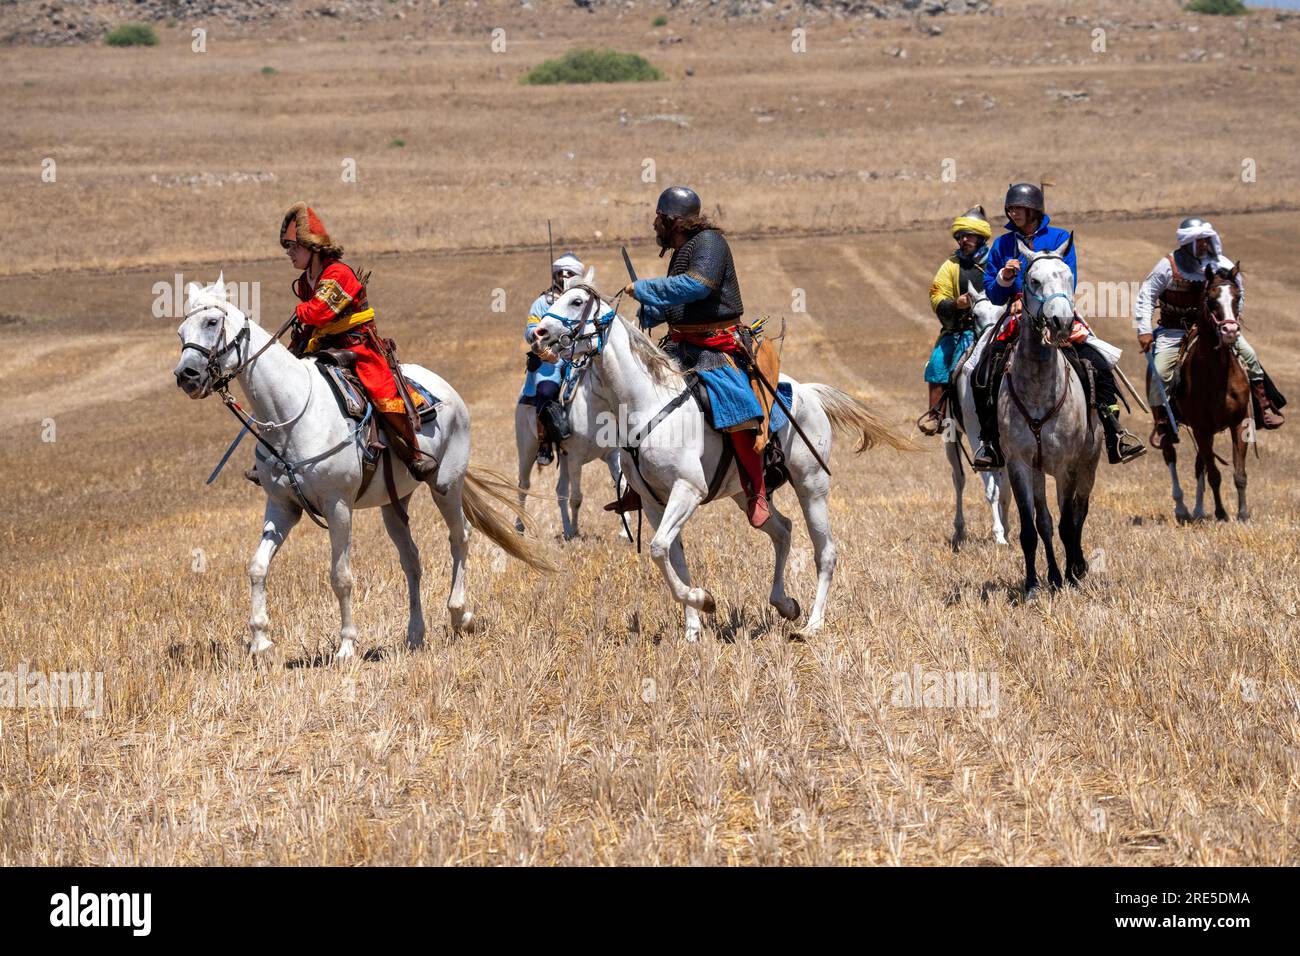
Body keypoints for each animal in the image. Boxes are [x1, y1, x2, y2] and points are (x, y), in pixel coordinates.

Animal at [171, 274, 548, 658]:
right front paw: (261, 641)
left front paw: (347, 645)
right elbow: (258, 567)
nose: (186, 375)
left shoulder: (338, 506)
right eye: (181, 330)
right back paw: (415, 634)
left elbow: (341, 577)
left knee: (460, 536)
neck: (291, 414)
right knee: (411, 560)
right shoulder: (282, 506)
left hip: (446, 485)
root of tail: (448, 390)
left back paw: (460, 616)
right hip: (393, 504)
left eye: (211, 322)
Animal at [533, 273, 909, 639]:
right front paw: (693, 627)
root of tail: (808, 392)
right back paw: (785, 604)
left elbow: (658, 548)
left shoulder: (688, 490)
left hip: (811, 486)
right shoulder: (654, 503)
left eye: (577, 301)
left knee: (825, 550)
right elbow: (671, 554)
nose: (538, 334)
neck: (649, 403)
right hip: (747, 493)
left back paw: (813, 625)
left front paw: (704, 600)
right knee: (782, 530)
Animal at [998, 239, 1102, 598]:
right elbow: (1031, 529)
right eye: (1033, 280)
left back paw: (1076, 568)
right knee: (1043, 521)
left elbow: (1068, 522)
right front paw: (1032, 586)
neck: (1039, 387)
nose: (1061, 322)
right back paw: (1054, 576)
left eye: (1069, 276)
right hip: (1038, 471)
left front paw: (1073, 575)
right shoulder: (1018, 464)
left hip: (1088, 463)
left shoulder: (1067, 465)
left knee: (1080, 511)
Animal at [1164, 264, 1253, 522]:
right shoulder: (1201, 429)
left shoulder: (1239, 423)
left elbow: (1239, 473)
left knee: (1199, 465)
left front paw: (1243, 514)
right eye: (1212, 300)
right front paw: (1222, 513)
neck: (1218, 375)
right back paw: (1183, 508)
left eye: (1237, 297)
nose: (1230, 330)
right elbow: (1214, 474)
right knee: (1171, 454)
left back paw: (1198, 510)